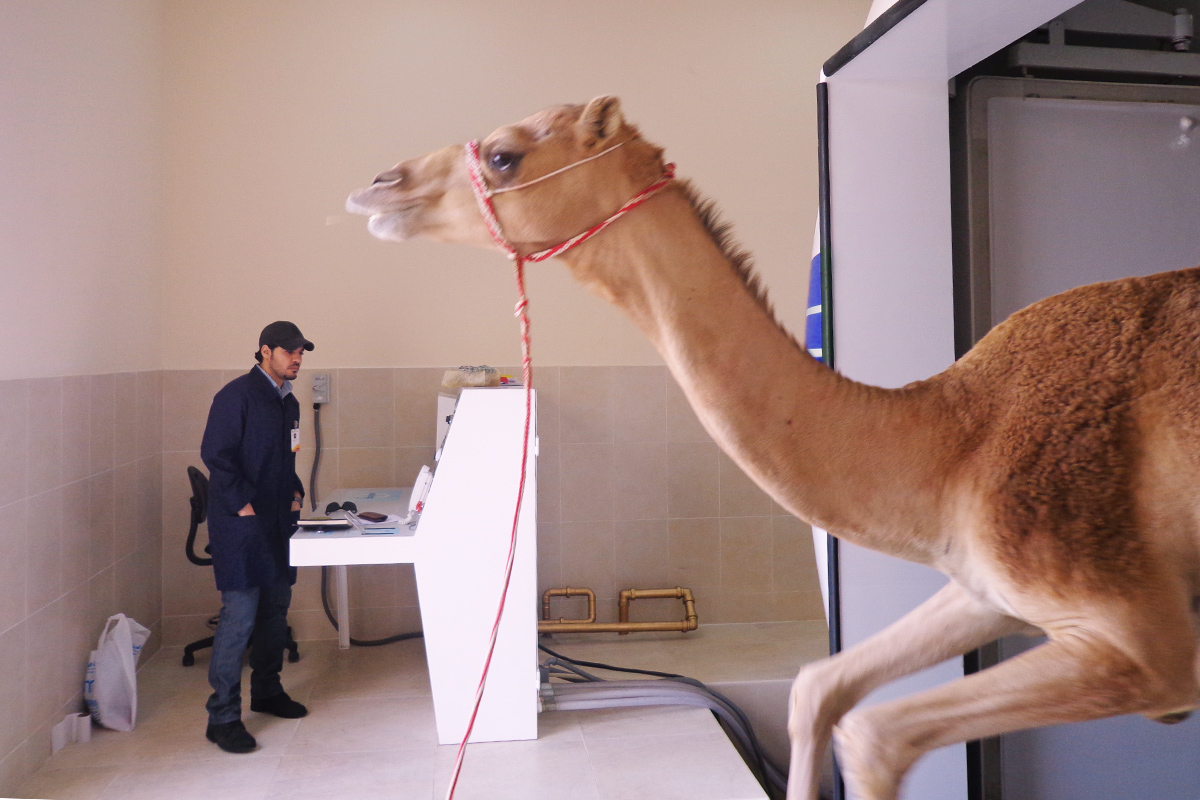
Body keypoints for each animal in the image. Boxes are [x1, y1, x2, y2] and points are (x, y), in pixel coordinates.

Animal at [343, 97, 1200, 796]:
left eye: (503, 155)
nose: (377, 185)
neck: (952, 441)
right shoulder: (986, 587)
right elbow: (818, 688)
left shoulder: (1142, 639)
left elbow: (873, 735)